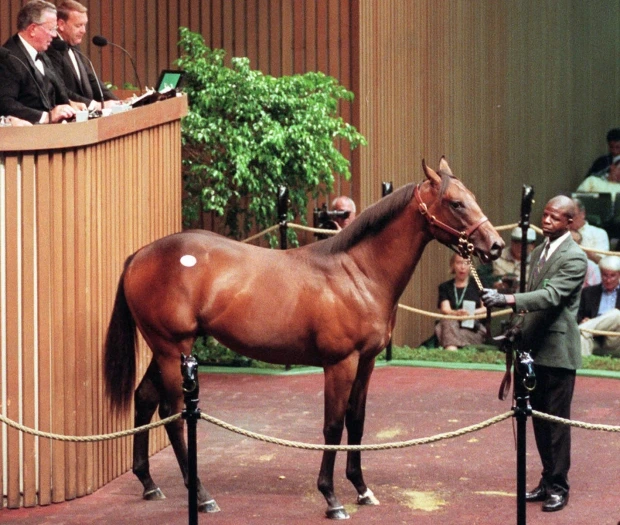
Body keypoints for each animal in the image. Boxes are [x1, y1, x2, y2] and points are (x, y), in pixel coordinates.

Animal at [104, 158, 504, 516]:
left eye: (470, 197)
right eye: (456, 203)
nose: (496, 245)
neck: (358, 273)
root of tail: (138, 256)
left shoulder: (367, 362)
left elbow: (356, 421)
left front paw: (362, 489)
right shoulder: (340, 364)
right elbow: (333, 425)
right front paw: (331, 497)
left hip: (166, 351)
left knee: (144, 398)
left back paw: (149, 483)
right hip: (173, 350)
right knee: (173, 415)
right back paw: (202, 496)